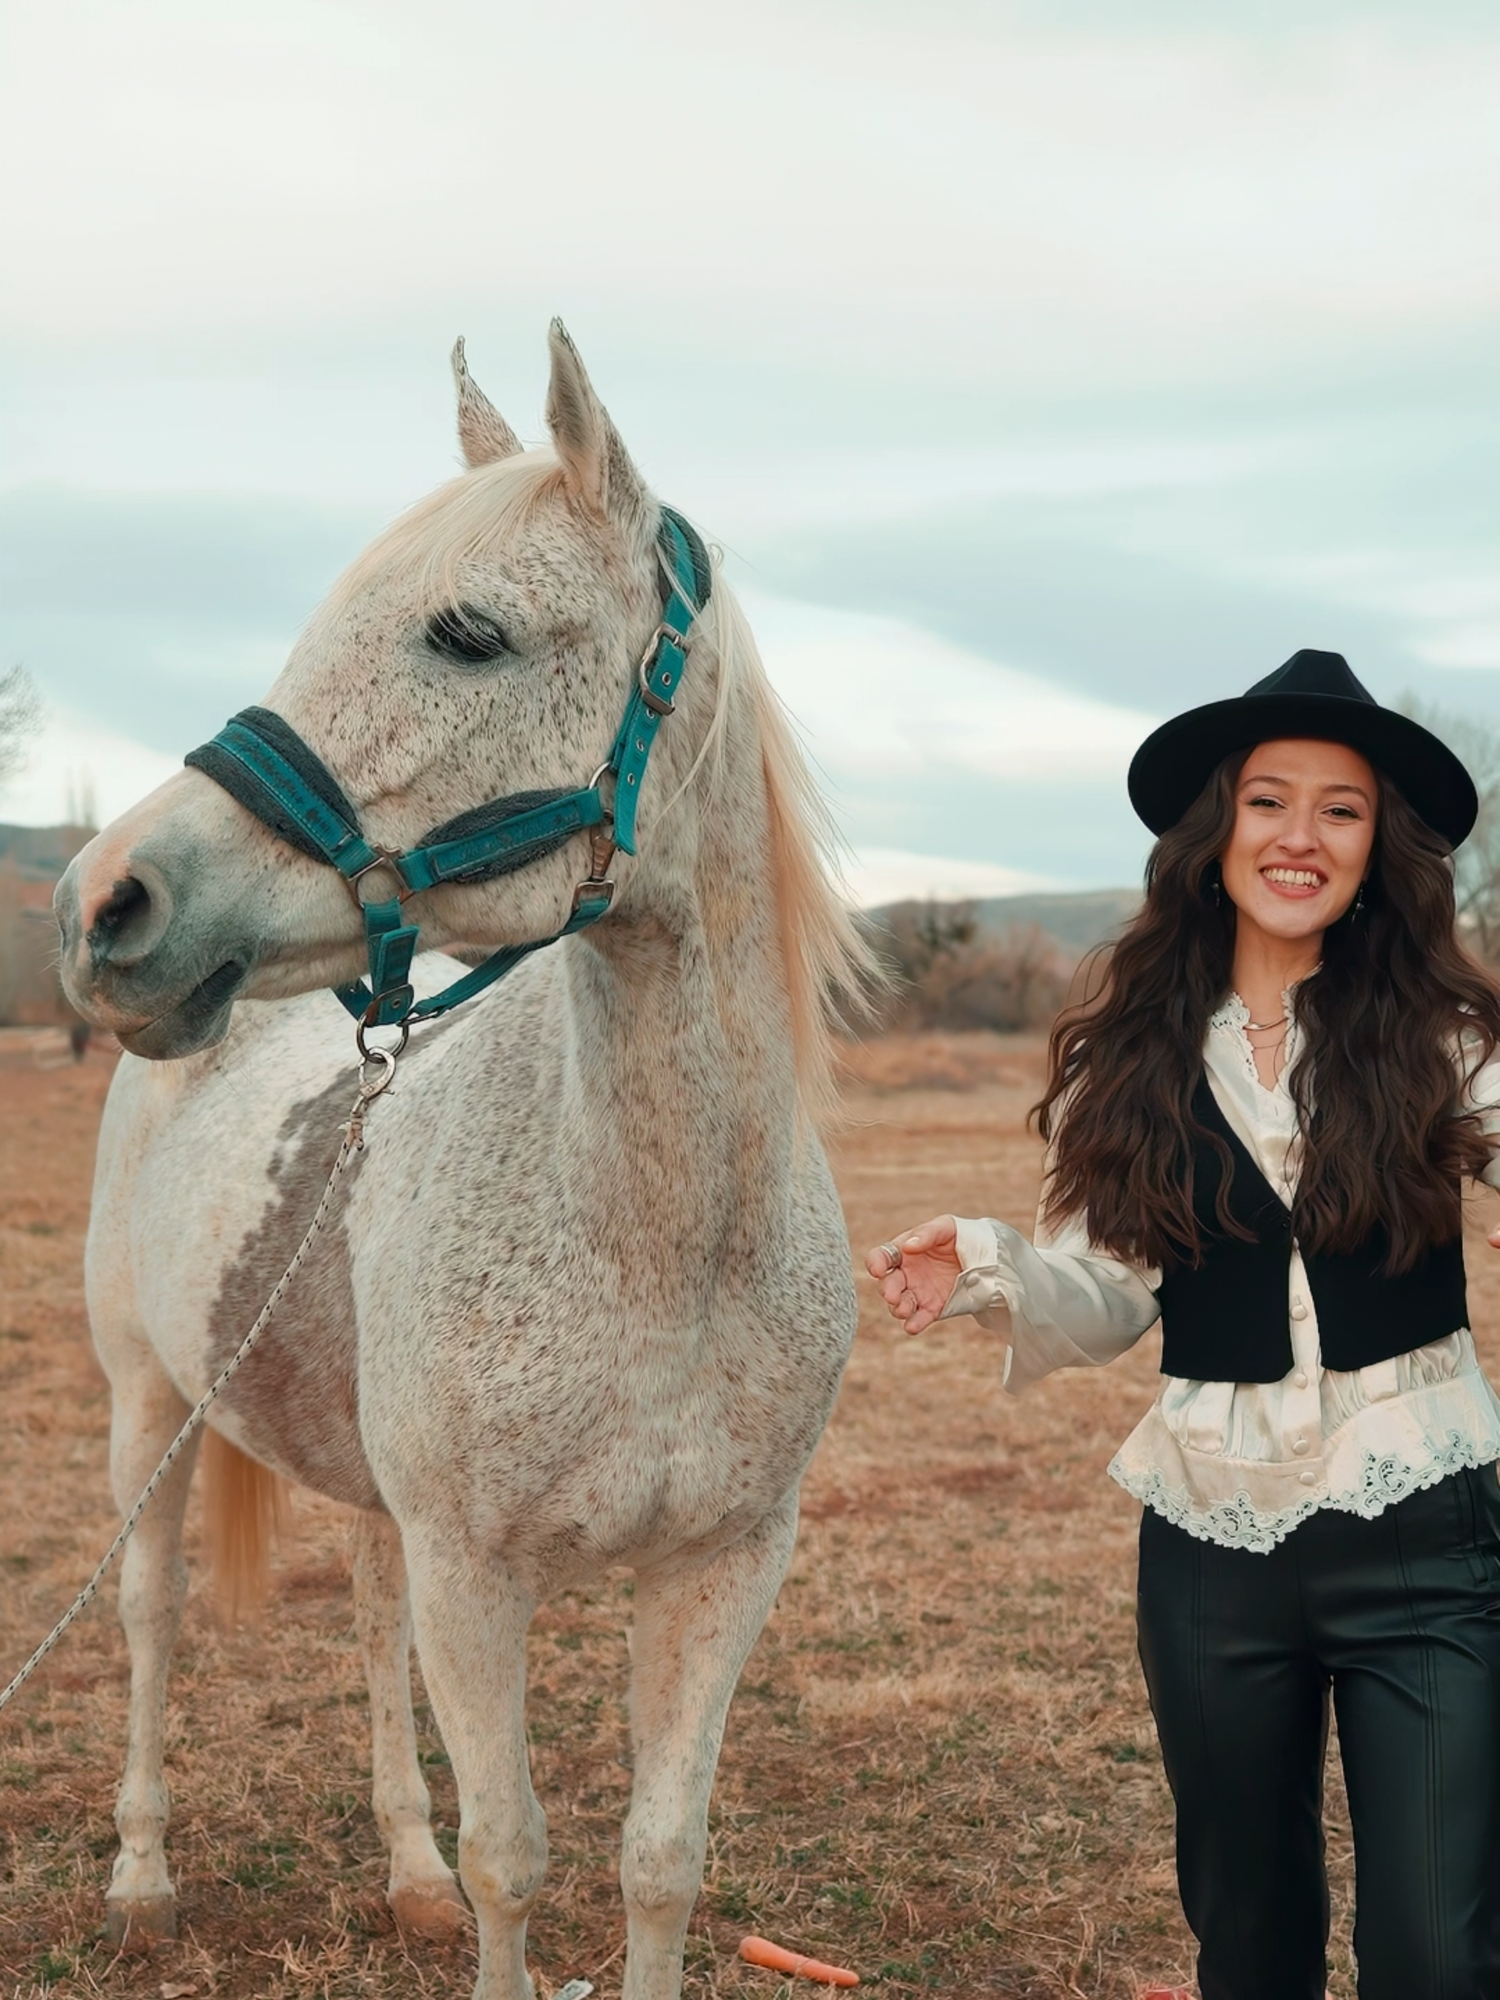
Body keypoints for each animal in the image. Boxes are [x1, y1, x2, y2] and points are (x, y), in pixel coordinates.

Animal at [58, 328, 876, 2000]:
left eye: (469, 633)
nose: (106, 901)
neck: (659, 1244)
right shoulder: (476, 1576)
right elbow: (518, 1857)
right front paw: (470, 1887)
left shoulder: (721, 1570)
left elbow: (657, 1860)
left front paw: (460, 1879)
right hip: (147, 1408)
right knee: (152, 1622)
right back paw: (142, 1878)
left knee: (370, 1630)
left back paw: (406, 1873)